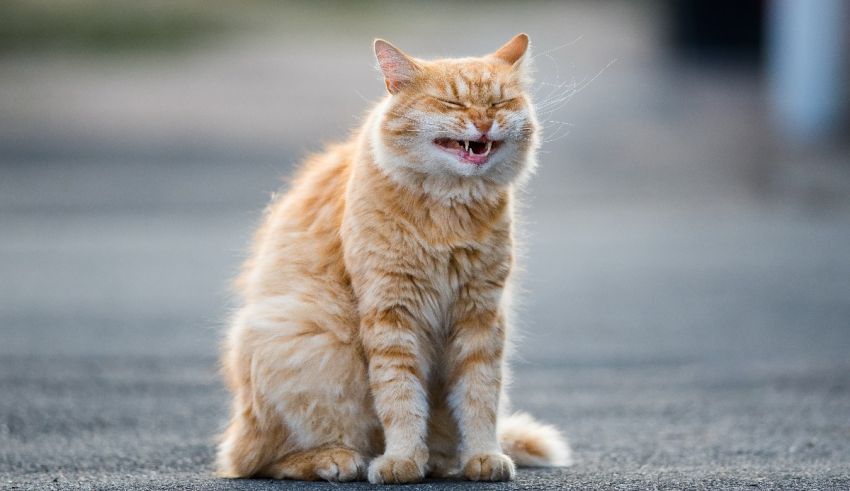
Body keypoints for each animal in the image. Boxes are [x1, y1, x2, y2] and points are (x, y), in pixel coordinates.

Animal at [217, 34, 568, 484]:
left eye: (499, 102)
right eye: (451, 103)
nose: (484, 122)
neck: (449, 211)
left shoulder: (479, 314)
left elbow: (480, 397)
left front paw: (481, 456)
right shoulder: (392, 313)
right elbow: (400, 398)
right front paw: (402, 458)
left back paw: (439, 460)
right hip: (304, 340)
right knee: (257, 461)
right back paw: (336, 459)